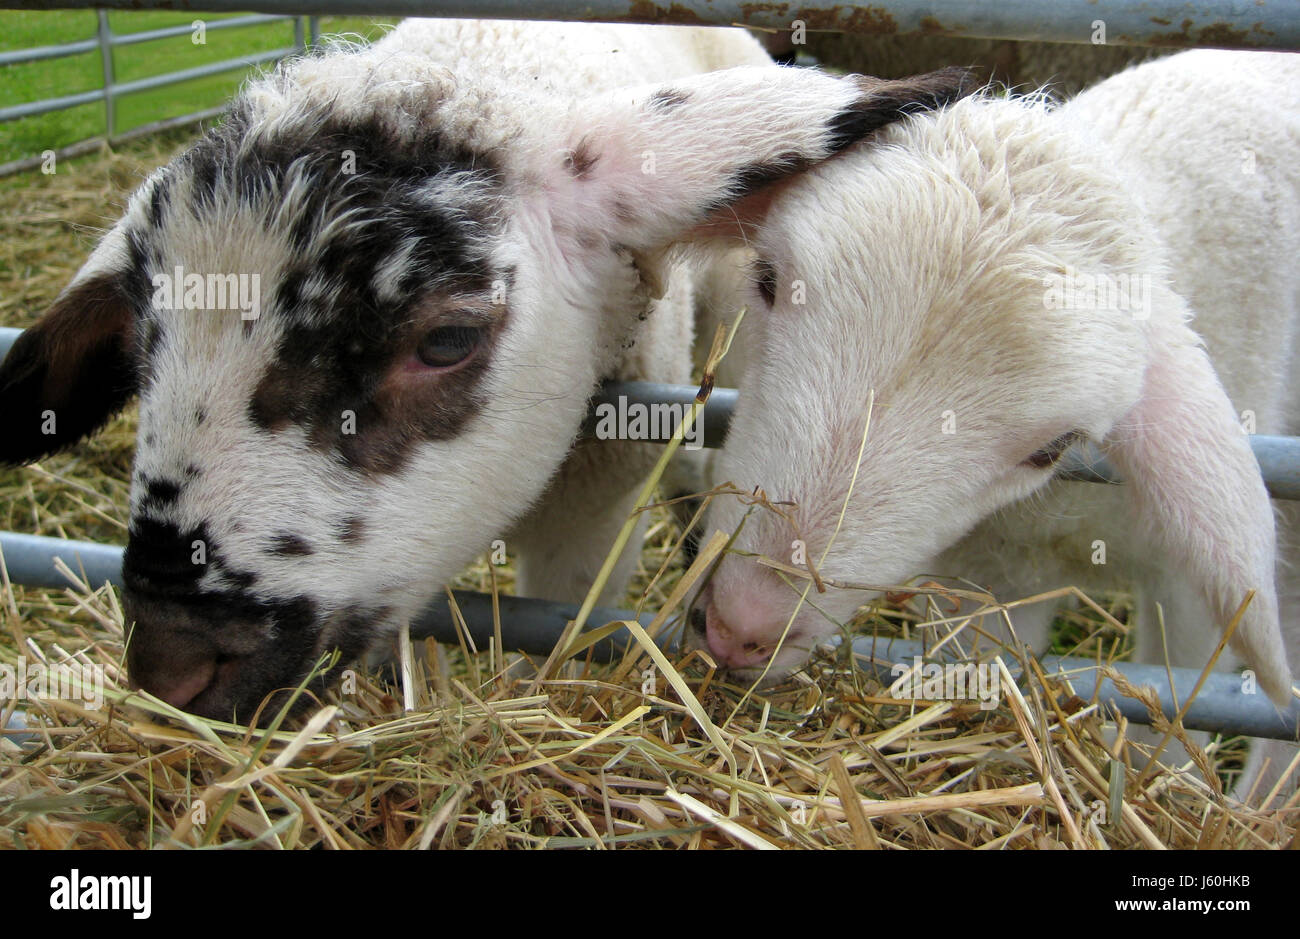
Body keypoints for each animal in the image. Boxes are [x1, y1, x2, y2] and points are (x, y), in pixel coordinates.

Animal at [696, 51, 1294, 795]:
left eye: (1053, 447)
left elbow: (1177, 714)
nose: (739, 624)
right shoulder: (990, 571)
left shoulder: (1186, 594)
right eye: (769, 279)